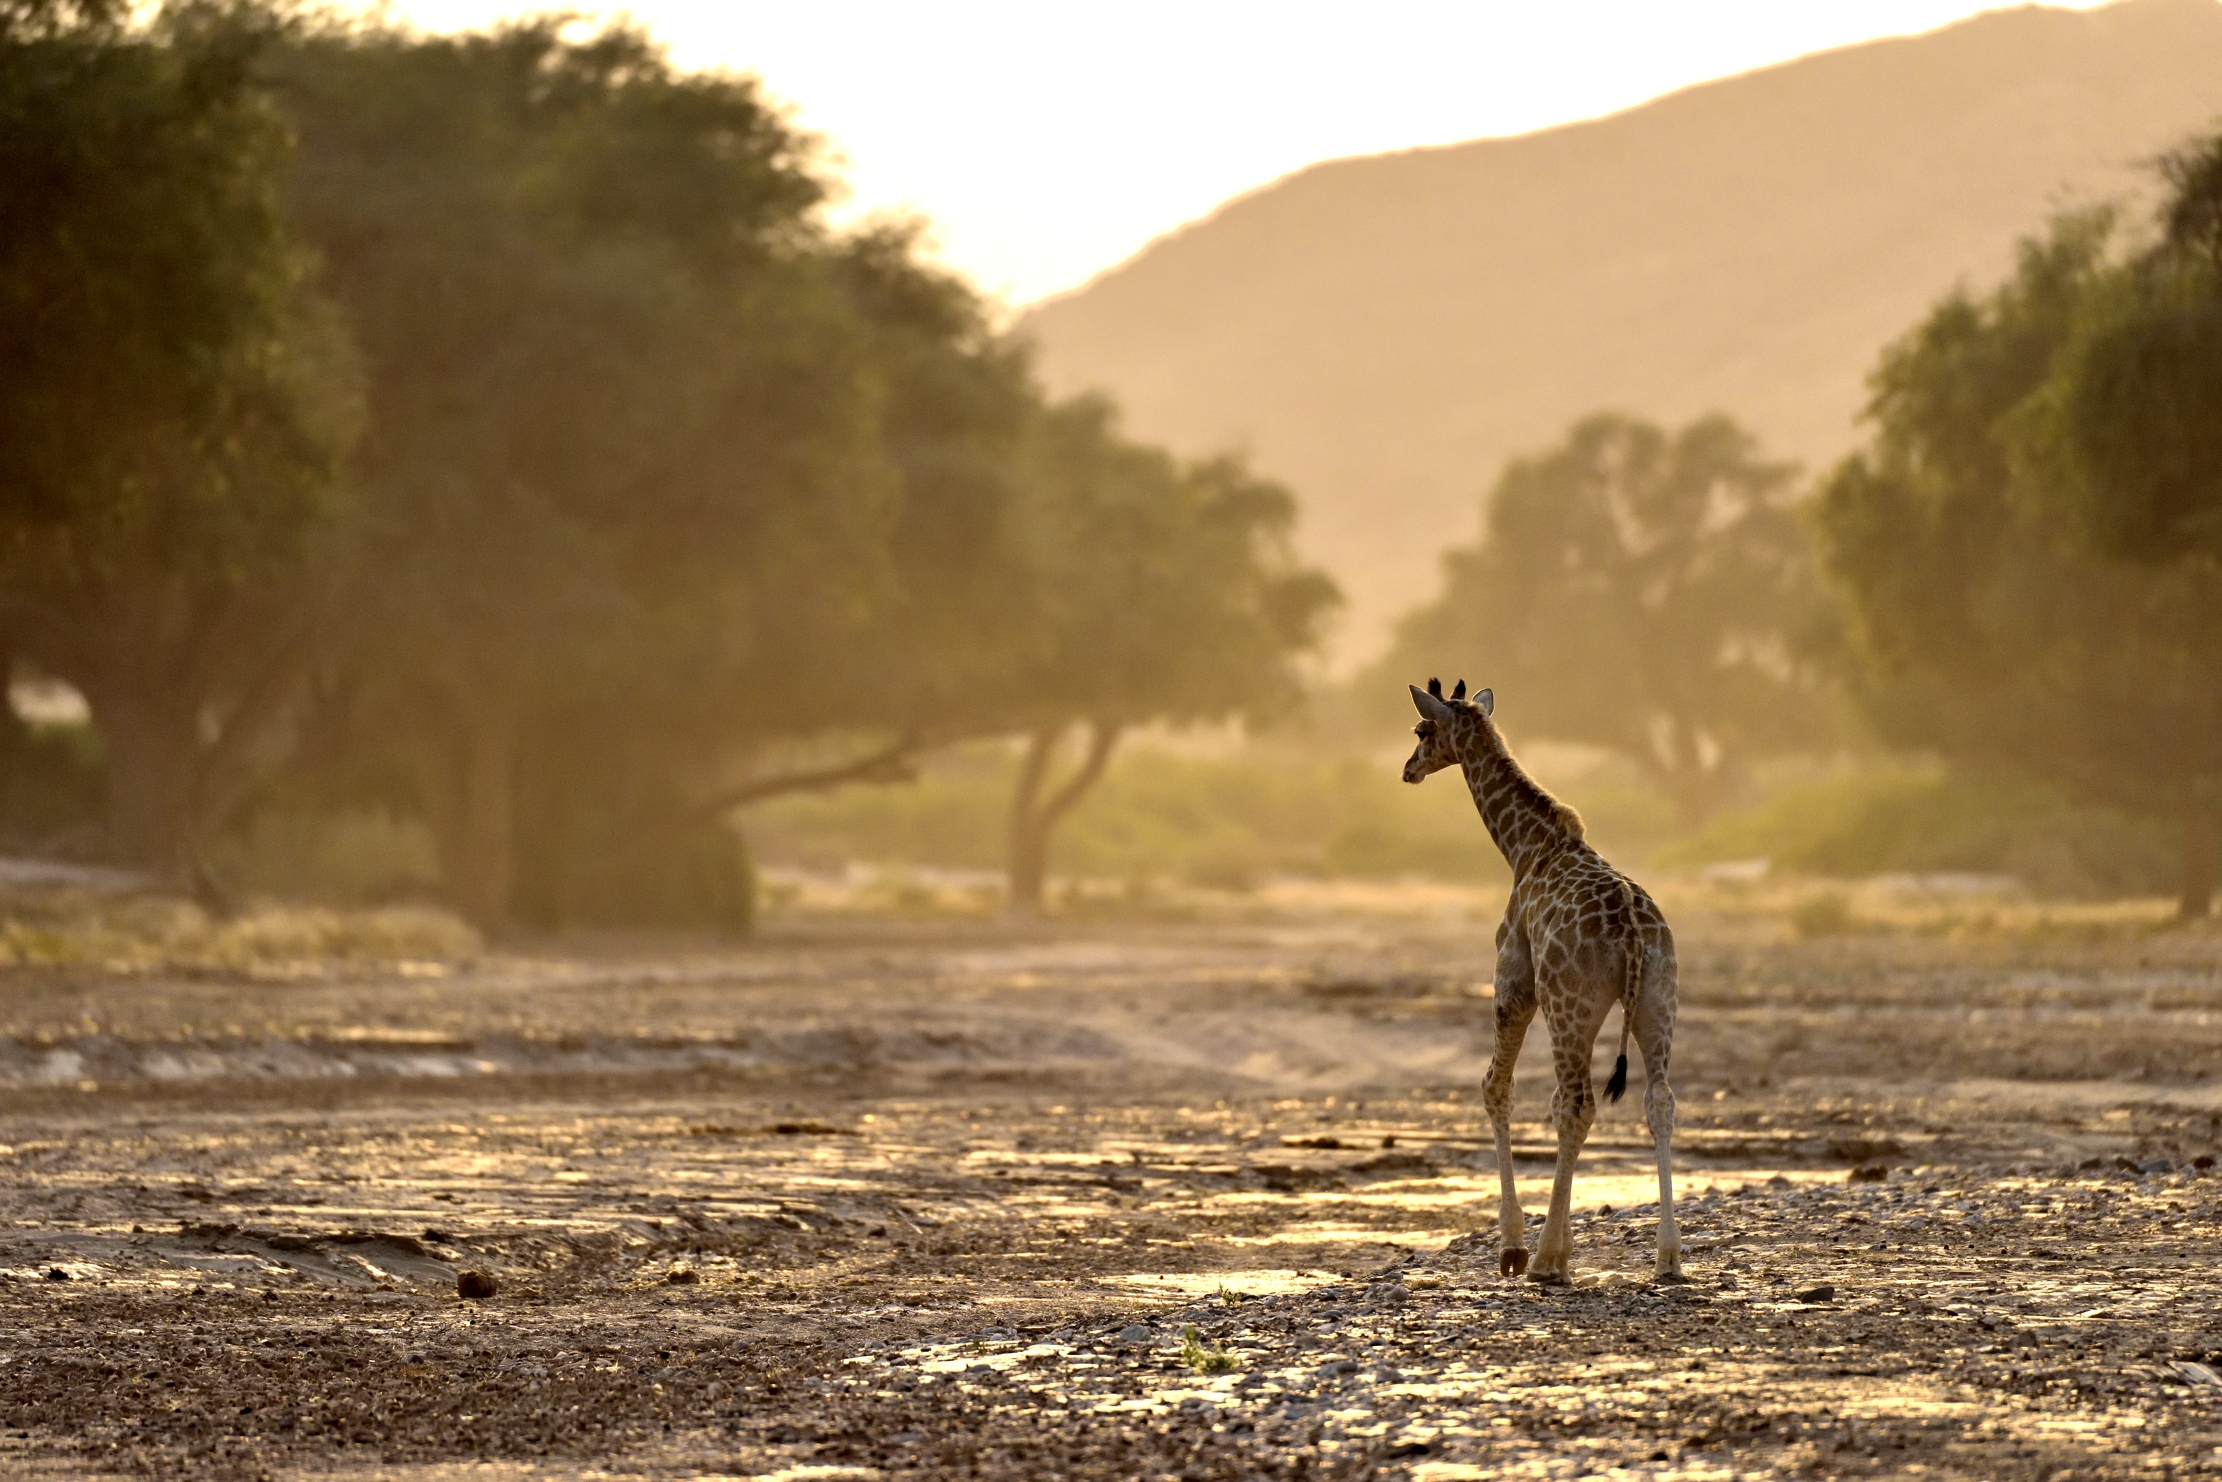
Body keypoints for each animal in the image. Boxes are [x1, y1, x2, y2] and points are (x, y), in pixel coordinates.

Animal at [1403, 678, 1684, 1284]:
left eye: (1421, 729)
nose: (1408, 769)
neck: (1523, 845)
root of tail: (1633, 938)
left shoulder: (1514, 980)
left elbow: (1495, 1086)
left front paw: (1513, 1247)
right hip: (1659, 1000)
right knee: (1659, 1100)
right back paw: (1668, 1257)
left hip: (1569, 1005)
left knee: (1574, 1104)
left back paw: (1548, 1258)